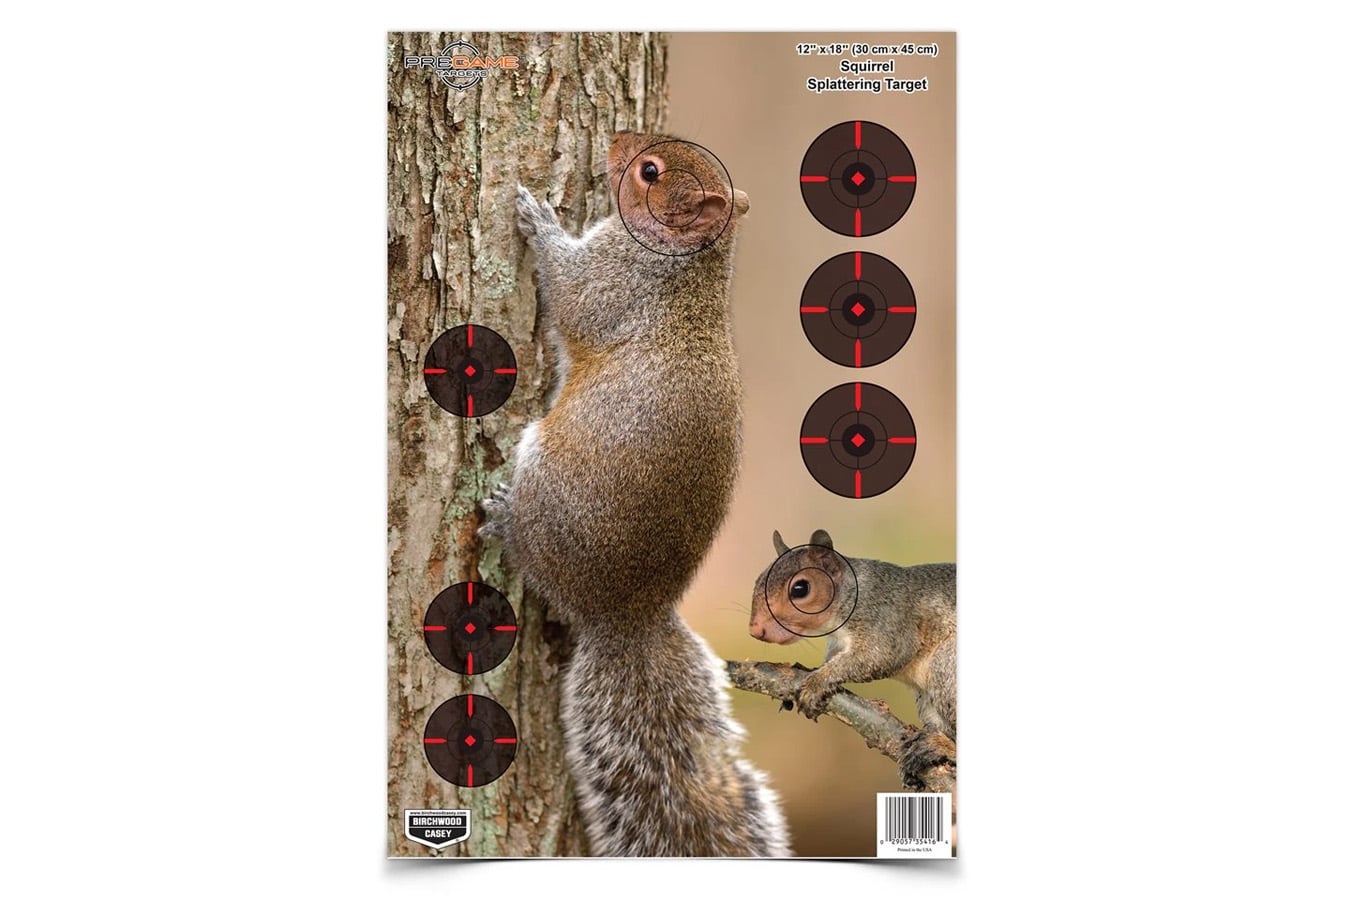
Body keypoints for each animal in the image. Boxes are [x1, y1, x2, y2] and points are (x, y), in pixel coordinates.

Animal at [480, 132, 788, 857]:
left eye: (650, 171)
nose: (618, 141)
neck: (689, 267)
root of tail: (627, 614)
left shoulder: (612, 284)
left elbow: (568, 292)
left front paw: (538, 220)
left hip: (546, 481)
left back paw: (503, 521)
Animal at [749, 529, 957, 780]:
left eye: (800, 589)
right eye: (759, 580)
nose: (755, 630)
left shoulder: (887, 620)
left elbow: (880, 656)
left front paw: (817, 682)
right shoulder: (838, 643)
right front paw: (809, 671)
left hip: (946, 665)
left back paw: (942, 747)